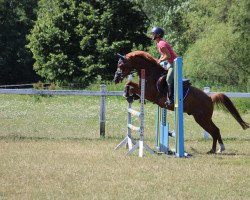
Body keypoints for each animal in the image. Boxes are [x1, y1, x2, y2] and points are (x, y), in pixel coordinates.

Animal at [114, 50, 249, 154]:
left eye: (121, 65)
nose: (116, 79)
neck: (150, 72)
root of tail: (209, 98)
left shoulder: (148, 93)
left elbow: (130, 84)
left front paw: (126, 93)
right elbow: (130, 85)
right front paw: (129, 96)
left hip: (202, 118)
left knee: (215, 130)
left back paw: (218, 149)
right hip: (203, 118)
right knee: (215, 131)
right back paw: (215, 149)